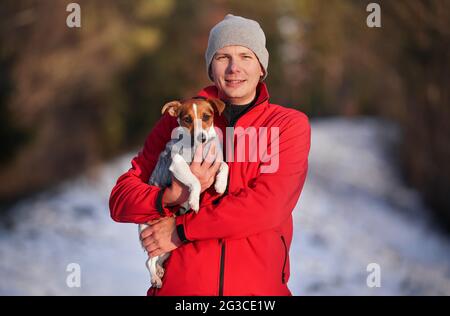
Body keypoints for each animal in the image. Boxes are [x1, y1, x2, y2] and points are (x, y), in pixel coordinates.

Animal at [138, 97, 230, 288]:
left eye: (206, 116)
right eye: (187, 119)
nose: (202, 138)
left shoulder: (215, 160)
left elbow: (224, 166)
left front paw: (220, 185)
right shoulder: (178, 164)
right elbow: (195, 180)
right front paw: (194, 201)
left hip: (167, 247)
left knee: (156, 259)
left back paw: (159, 271)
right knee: (149, 261)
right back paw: (155, 278)